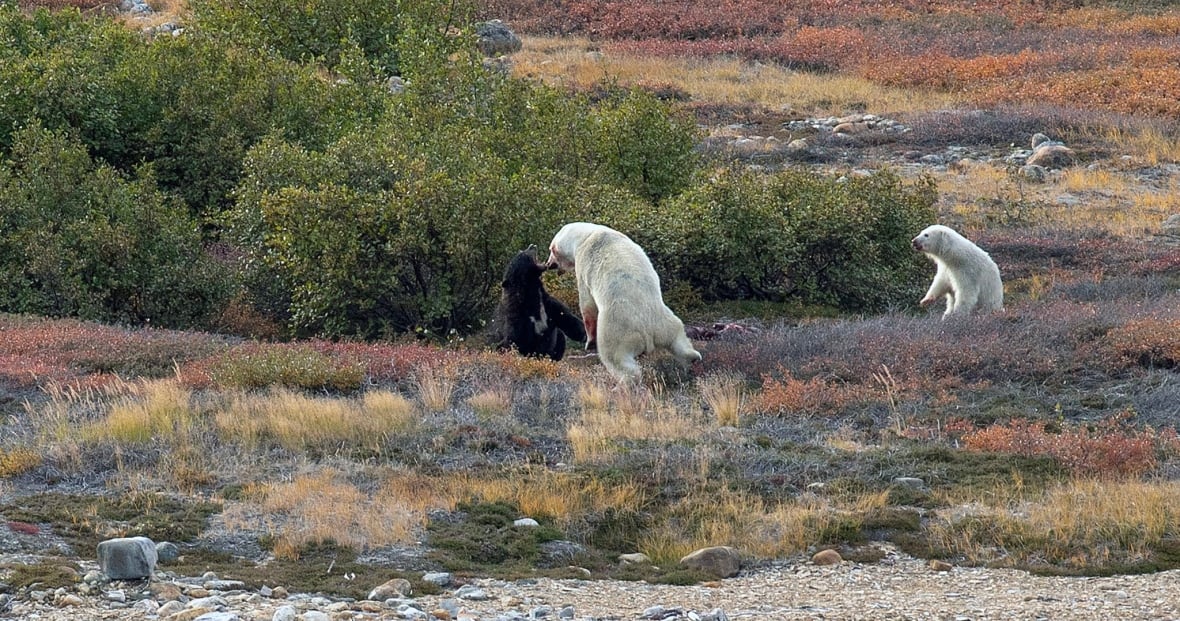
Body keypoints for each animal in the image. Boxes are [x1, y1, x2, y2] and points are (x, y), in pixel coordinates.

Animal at [546, 222, 701, 384]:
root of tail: (649, 333)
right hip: (666, 322)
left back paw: (625, 382)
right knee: (679, 341)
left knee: (615, 358)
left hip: (618, 329)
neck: (586, 235)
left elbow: (587, 304)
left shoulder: (583, 264)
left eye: (551, 250)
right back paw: (693, 358)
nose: (548, 264)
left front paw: (588, 342)